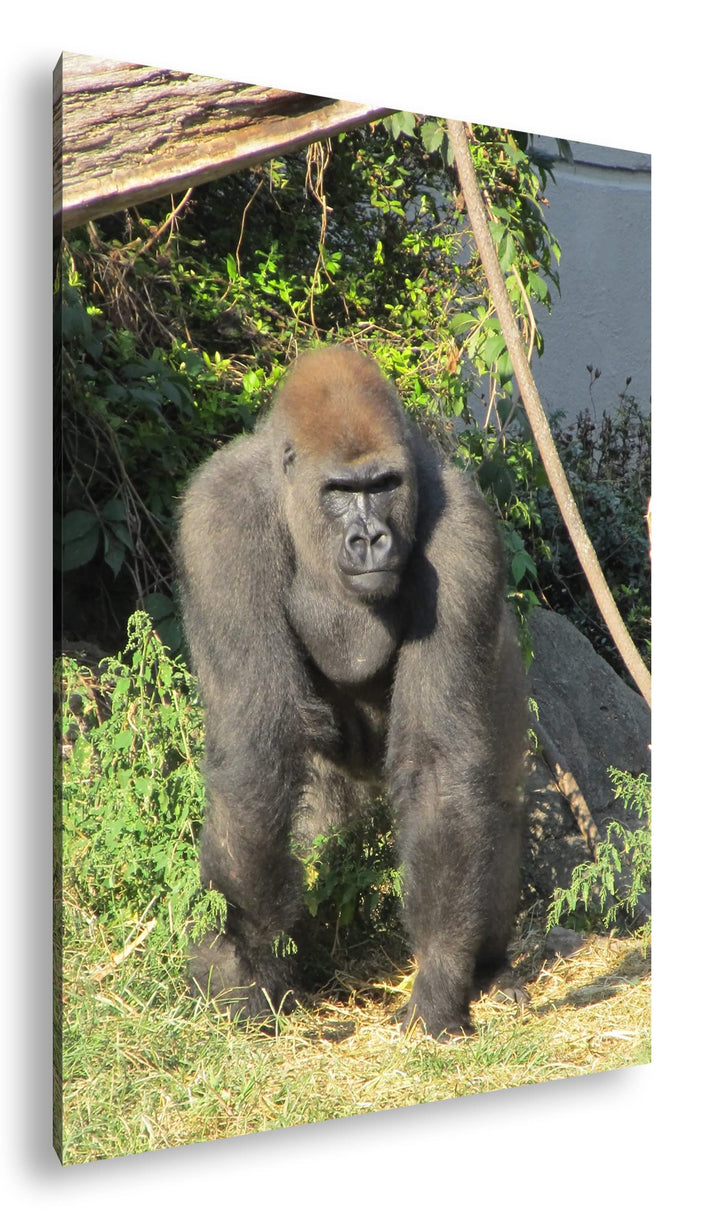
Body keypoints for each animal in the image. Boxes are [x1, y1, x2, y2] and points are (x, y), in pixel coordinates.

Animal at [177, 345, 527, 1039]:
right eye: (340, 492)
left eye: (384, 485)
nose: (370, 539)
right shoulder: (220, 520)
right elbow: (256, 752)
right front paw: (246, 960)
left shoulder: (466, 534)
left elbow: (439, 769)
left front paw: (441, 977)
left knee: (489, 798)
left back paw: (489, 967)